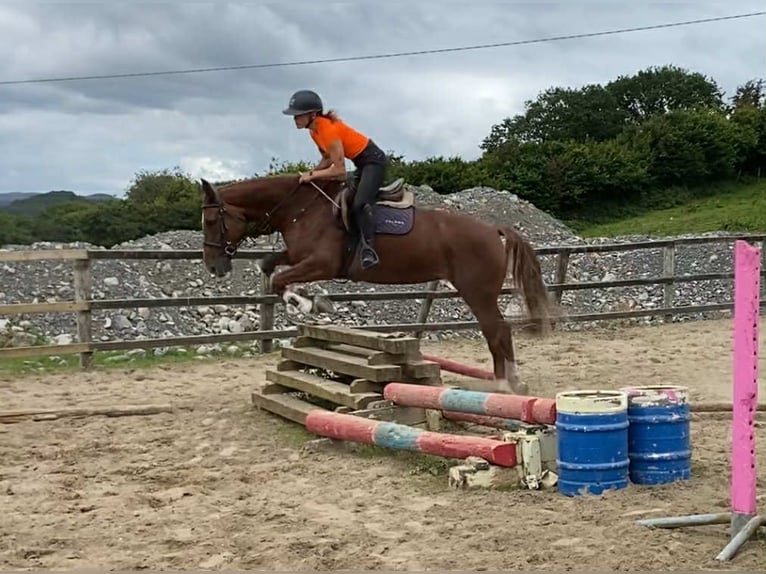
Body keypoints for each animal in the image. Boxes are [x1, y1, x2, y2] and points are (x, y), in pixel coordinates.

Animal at [200, 173, 555, 395]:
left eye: (212, 220)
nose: (214, 267)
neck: (300, 208)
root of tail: (493, 229)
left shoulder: (321, 263)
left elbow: (279, 278)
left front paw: (307, 304)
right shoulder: (298, 256)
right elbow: (269, 267)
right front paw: (307, 300)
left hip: (477, 293)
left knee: (498, 331)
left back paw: (505, 385)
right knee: (497, 331)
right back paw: (511, 382)